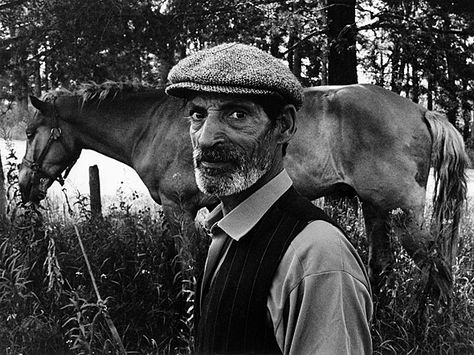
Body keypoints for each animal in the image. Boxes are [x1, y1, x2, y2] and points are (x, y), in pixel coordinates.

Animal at [17, 82, 466, 294]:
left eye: (30, 131)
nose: (25, 186)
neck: (152, 123)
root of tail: (422, 112)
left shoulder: (179, 209)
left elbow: (187, 271)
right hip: (375, 210)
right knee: (383, 265)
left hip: (406, 217)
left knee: (438, 269)